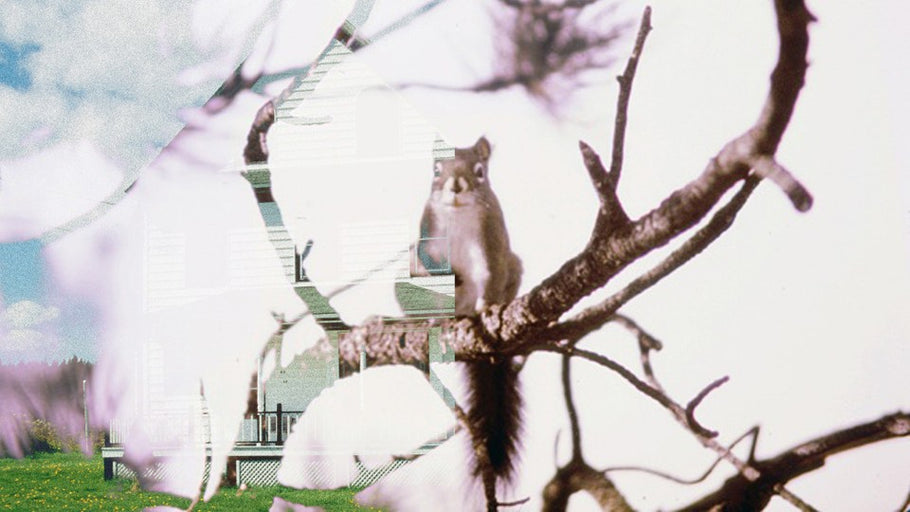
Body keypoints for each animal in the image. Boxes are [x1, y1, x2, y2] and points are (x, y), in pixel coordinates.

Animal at [411, 136, 523, 492]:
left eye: (479, 171)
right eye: (435, 170)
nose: (456, 186)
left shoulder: (491, 242)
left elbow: (490, 275)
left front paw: (487, 309)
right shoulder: (427, 231)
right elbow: (426, 261)